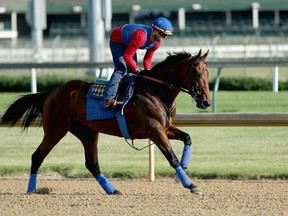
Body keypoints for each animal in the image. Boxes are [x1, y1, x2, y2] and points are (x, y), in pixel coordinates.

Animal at [1, 49, 210, 195]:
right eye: (198, 74)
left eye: (208, 74)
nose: (206, 102)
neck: (156, 91)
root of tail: (52, 92)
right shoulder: (154, 129)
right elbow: (171, 157)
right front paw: (191, 184)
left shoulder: (164, 128)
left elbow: (187, 137)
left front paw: (184, 167)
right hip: (55, 130)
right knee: (37, 156)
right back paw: (31, 189)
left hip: (87, 133)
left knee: (92, 164)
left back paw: (112, 190)